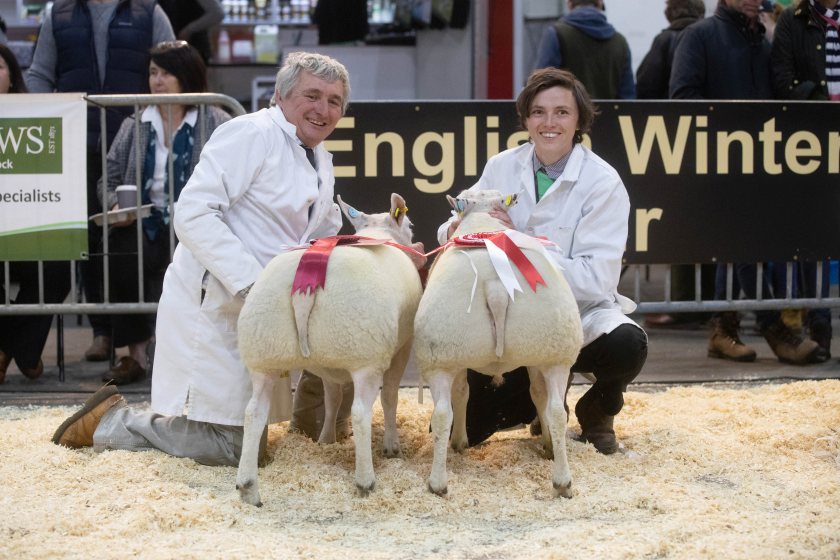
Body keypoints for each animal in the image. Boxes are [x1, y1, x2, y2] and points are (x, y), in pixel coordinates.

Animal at [235, 194, 420, 508]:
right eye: (410, 225)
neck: (377, 233)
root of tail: (304, 291)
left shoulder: (327, 366)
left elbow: (332, 399)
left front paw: (325, 440)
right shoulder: (401, 349)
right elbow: (390, 397)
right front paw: (392, 446)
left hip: (263, 352)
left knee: (253, 413)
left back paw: (248, 486)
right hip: (365, 355)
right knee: (361, 413)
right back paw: (365, 481)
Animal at [414, 189, 584, 498]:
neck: (483, 218)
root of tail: (496, 287)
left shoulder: (454, 362)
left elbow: (462, 392)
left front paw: (460, 442)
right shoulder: (536, 359)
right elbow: (538, 395)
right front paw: (547, 442)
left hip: (439, 357)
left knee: (442, 413)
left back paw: (438, 483)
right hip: (554, 350)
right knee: (557, 410)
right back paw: (562, 481)